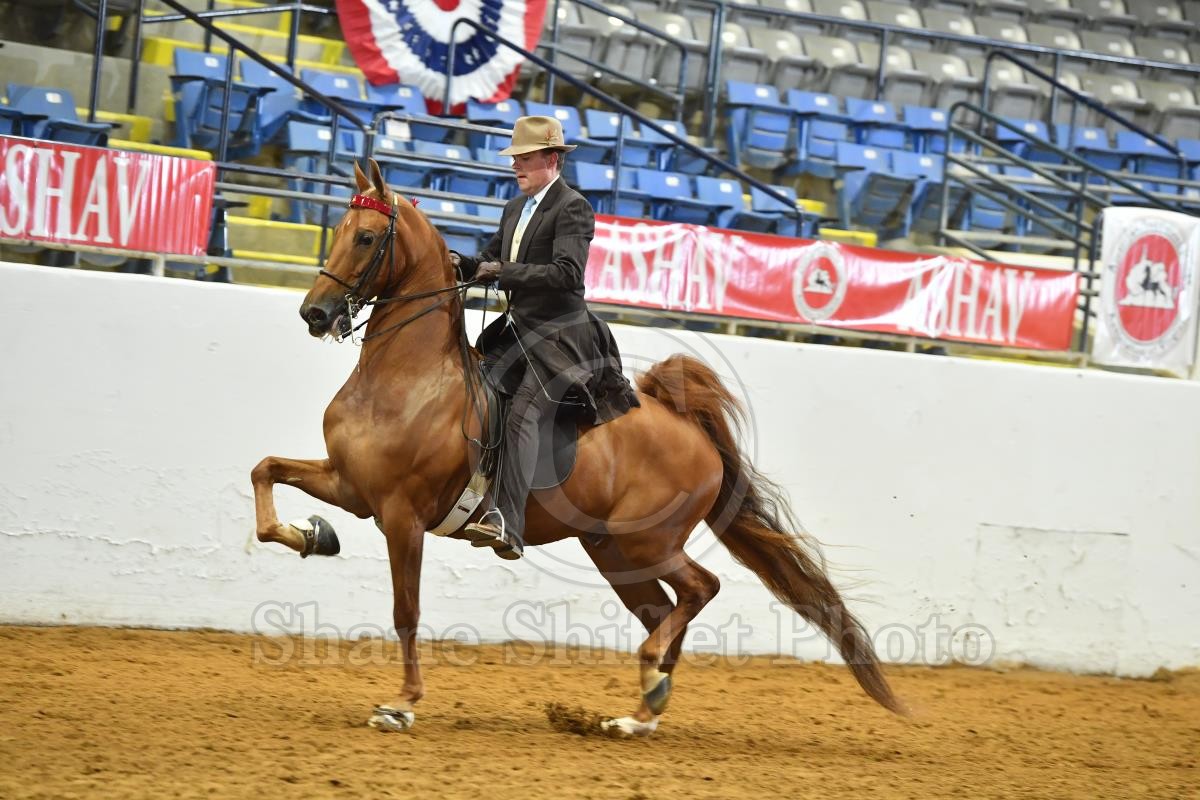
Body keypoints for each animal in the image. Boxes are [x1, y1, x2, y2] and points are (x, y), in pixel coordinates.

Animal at [250, 159, 902, 735]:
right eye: (337, 231)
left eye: (364, 238)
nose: (315, 313)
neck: (408, 379)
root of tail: (688, 428)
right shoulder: (351, 486)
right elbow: (265, 473)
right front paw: (312, 535)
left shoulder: (402, 515)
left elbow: (405, 612)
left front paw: (401, 705)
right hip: (612, 551)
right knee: (663, 609)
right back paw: (640, 712)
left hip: (646, 541)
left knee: (700, 589)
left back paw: (649, 682)